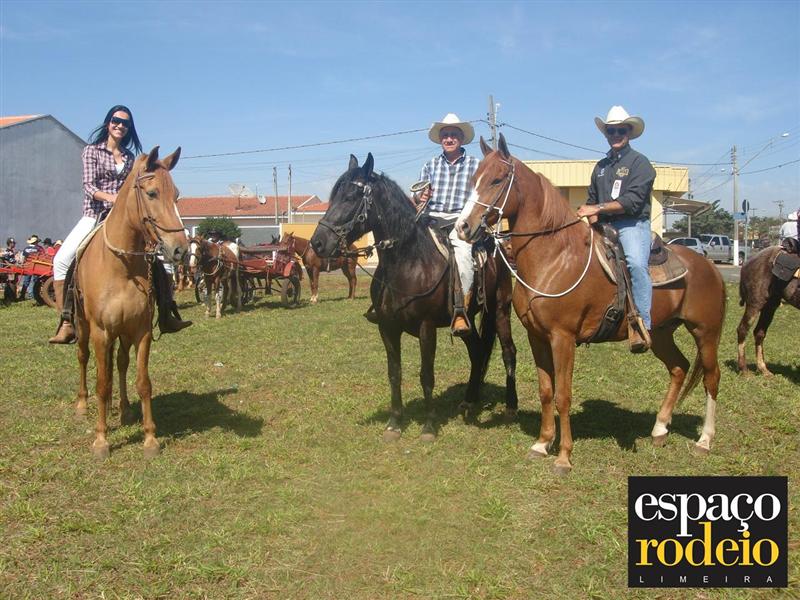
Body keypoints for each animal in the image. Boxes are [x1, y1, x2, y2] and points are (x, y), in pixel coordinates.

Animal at [73, 146, 188, 459]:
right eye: (151, 193)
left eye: (176, 195)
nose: (181, 250)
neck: (120, 267)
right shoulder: (101, 331)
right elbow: (102, 383)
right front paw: (101, 440)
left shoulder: (141, 331)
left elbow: (143, 382)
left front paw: (150, 438)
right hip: (83, 327)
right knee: (83, 358)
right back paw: (82, 404)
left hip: (122, 333)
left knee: (121, 364)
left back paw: (123, 410)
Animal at [310, 154, 517, 441]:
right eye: (334, 196)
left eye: (351, 196)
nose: (317, 243)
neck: (408, 263)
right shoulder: (387, 328)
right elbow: (394, 374)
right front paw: (394, 423)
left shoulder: (426, 328)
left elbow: (426, 375)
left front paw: (429, 426)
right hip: (466, 323)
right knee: (477, 353)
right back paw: (469, 400)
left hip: (500, 310)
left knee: (509, 353)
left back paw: (510, 407)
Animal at [455, 135, 726, 474]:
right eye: (473, 179)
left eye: (497, 179)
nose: (463, 227)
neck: (555, 258)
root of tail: (710, 267)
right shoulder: (536, 337)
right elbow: (546, 392)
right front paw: (541, 444)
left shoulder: (563, 338)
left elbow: (563, 395)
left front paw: (563, 457)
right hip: (661, 332)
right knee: (679, 368)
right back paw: (660, 429)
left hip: (705, 332)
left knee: (711, 378)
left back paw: (705, 440)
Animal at [736, 245, 800, 376]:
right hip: (755, 303)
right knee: (743, 330)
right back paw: (744, 370)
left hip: (770, 307)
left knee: (759, 333)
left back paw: (763, 369)